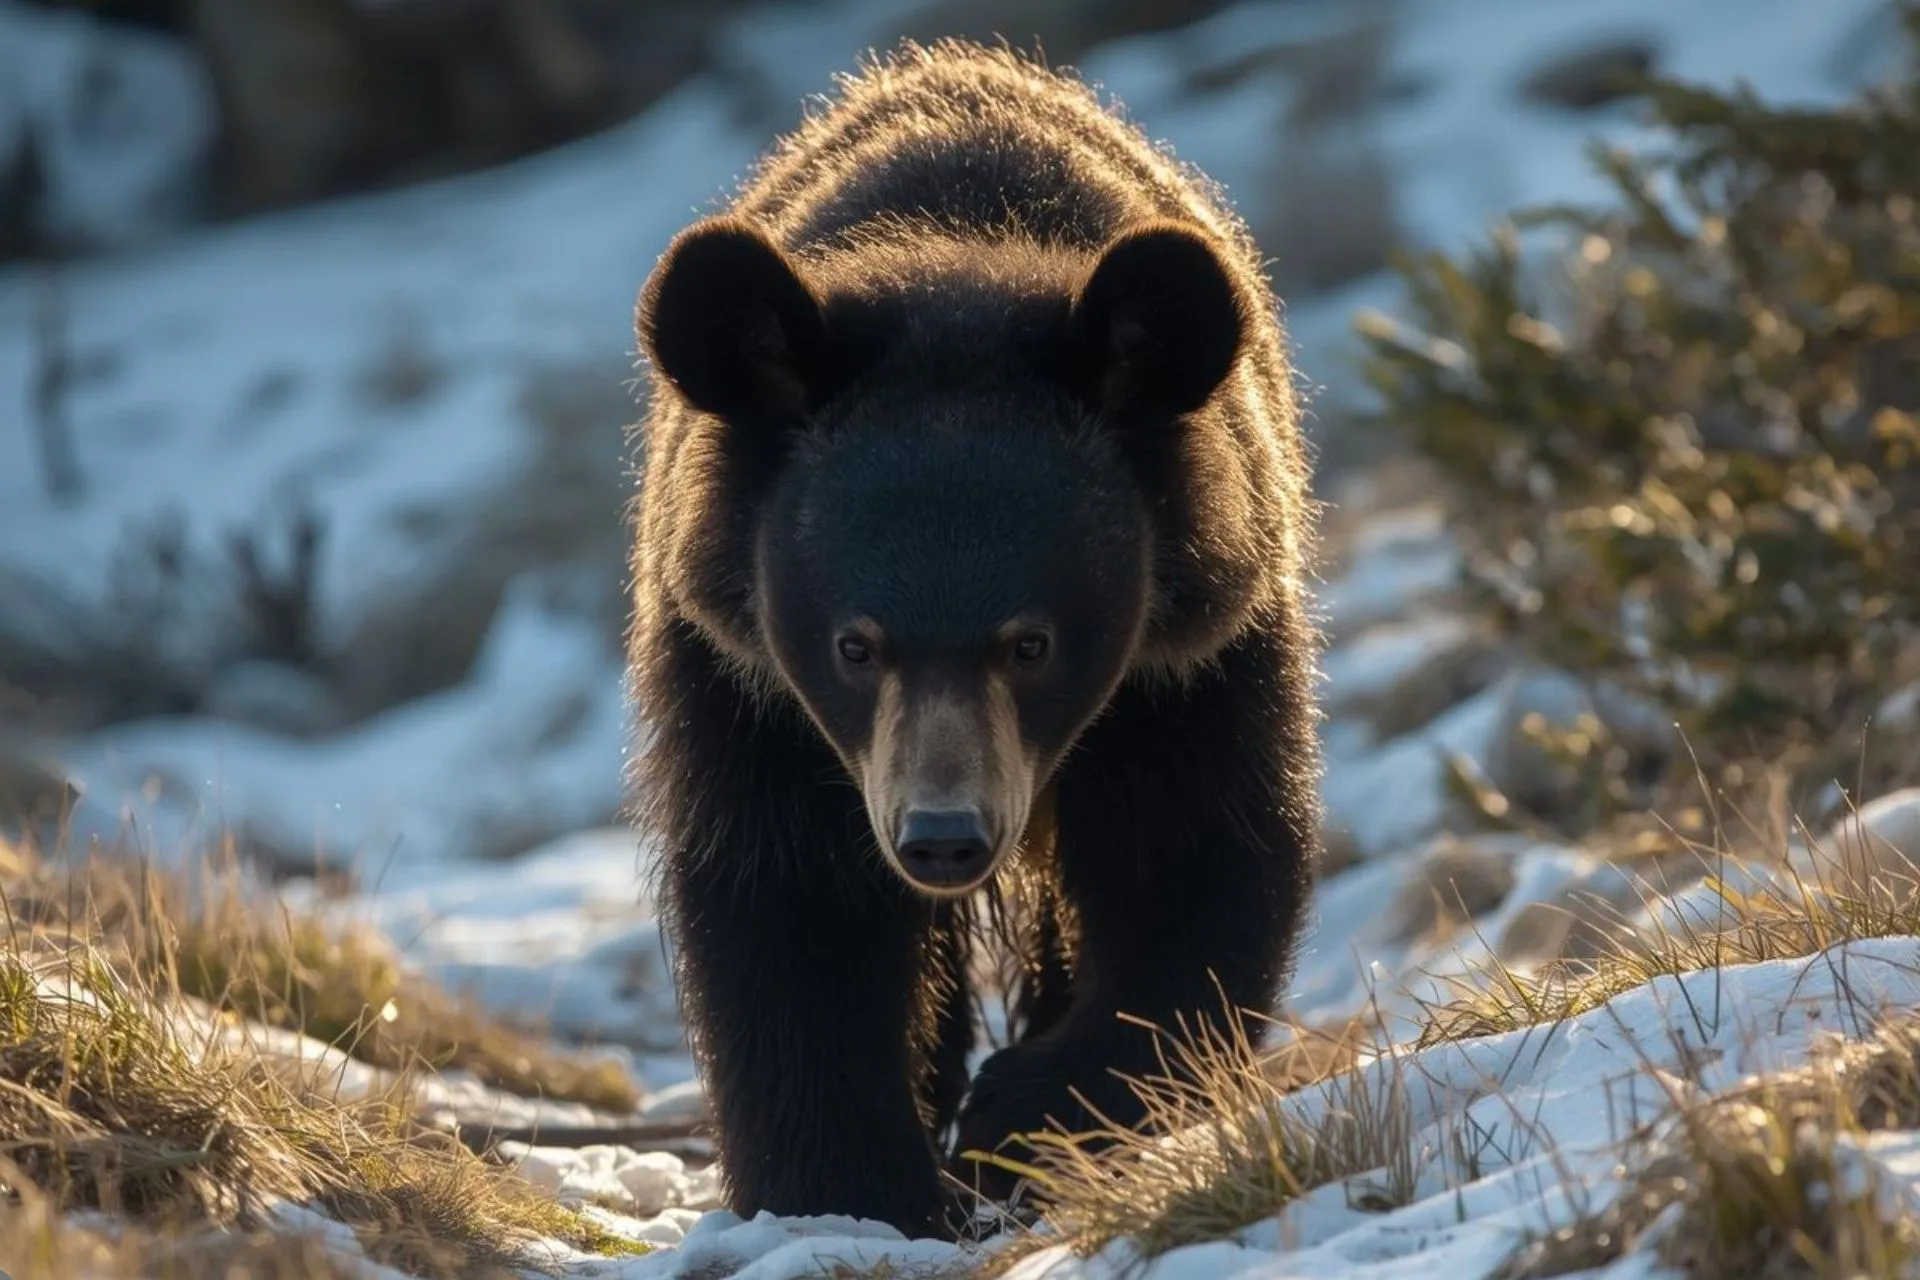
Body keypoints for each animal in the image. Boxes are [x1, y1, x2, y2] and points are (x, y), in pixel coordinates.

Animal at [625, 38, 1322, 1241]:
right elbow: (787, 905)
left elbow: (1198, 856)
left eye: (1031, 642)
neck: (957, 251)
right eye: (855, 644)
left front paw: (1026, 1120)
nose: (943, 837)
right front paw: (850, 1187)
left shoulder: (1193, 654)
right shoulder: (739, 675)